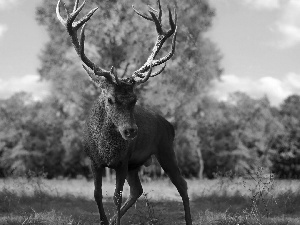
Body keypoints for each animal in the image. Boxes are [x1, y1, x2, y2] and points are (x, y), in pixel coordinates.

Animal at [56, 0, 192, 225]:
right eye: (110, 99)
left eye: (134, 100)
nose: (131, 131)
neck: (106, 149)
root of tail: (169, 125)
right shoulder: (94, 161)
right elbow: (97, 194)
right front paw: (104, 221)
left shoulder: (122, 161)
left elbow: (116, 197)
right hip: (135, 165)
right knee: (138, 190)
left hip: (165, 149)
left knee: (182, 184)